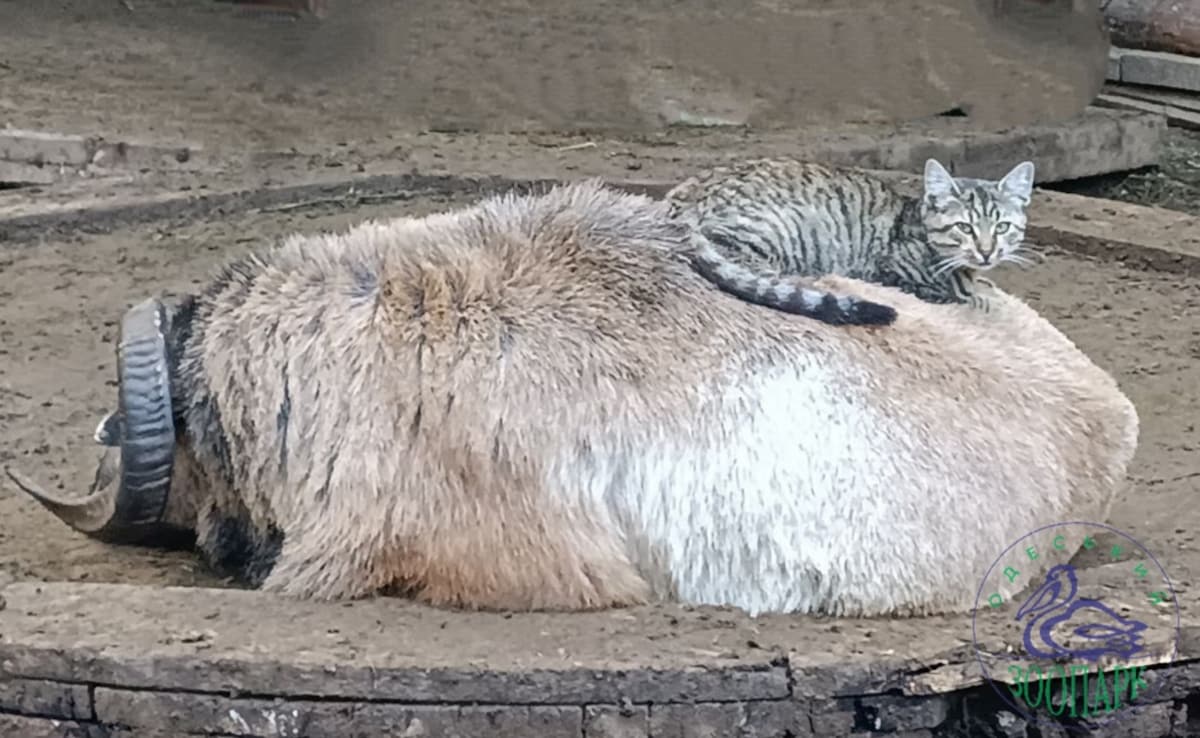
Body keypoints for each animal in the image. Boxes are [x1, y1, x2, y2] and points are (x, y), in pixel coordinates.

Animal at [665, 157, 1038, 327]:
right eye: (965, 227)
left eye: (1002, 227)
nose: (987, 252)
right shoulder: (892, 273)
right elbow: (958, 295)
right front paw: (976, 296)